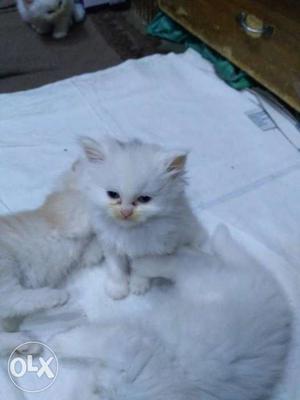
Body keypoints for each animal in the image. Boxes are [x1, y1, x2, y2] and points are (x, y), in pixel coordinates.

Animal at [0, 167, 103, 354]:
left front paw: (93, 252)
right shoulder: (72, 214)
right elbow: (94, 212)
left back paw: (24, 344)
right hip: (4, 264)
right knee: (13, 298)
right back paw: (55, 296)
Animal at [77, 136, 204, 298]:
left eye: (144, 199)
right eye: (113, 194)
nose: (125, 211)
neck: (129, 232)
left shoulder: (155, 249)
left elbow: (141, 269)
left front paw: (138, 286)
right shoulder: (111, 244)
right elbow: (115, 268)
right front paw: (117, 289)